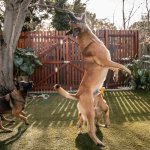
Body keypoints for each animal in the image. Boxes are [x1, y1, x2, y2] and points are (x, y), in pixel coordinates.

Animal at [54, 11, 131, 146]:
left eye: (72, 20)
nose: (68, 12)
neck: (91, 40)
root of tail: (77, 95)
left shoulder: (107, 63)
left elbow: (115, 68)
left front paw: (116, 76)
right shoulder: (106, 61)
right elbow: (120, 65)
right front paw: (128, 70)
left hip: (91, 112)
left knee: (87, 125)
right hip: (90, 113)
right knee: (90, 130)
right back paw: (98, 142)